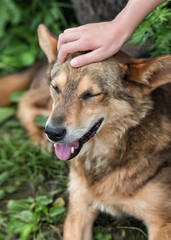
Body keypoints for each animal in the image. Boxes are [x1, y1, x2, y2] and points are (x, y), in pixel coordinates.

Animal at [0, 24, 171, 240]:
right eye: (56, 88)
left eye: (91, 94)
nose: (53, 133)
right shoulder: (78, 210)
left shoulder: (162, 222)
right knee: (24, 103)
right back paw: (39, 138)